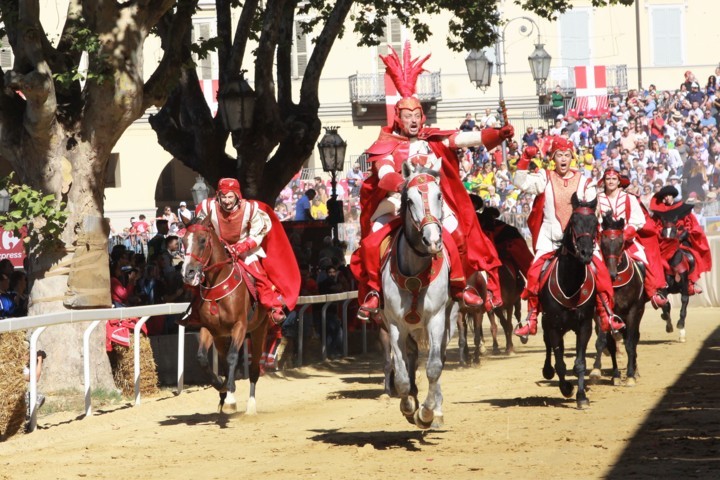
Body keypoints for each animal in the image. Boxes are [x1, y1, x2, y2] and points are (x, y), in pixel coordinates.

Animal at [181, 217, 268, 412]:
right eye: (183, 241)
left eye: (202, 240)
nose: (188, 273)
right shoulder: (210, 328)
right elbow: (202, 358)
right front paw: (221, 386)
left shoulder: (240, 325)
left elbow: (233, 357)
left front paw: (229, 395)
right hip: (222, 336)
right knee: (223, 360)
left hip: (259, 329)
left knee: (254, 368)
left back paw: (250, 404)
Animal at [382, 164, 456, 428]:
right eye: (409, 200)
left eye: (439, 196)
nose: (432, 240)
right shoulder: (394, 324)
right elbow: (402, 375)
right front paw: (408, 407)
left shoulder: (436, 318)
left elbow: (434, 367)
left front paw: (427, 413)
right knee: (411, 359)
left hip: (450, 319)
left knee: (439, 357)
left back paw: (436, 409)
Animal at [540, 192, 596, 408]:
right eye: (574, 221)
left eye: (596, 223)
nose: (585, 253)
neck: (570, 284)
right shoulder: (554, 325)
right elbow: (560, 363)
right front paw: (566, 388)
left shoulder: (584, 325)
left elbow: (580, 363)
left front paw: (581, 397)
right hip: (547, 323)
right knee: (549, 346)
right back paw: (547, 370)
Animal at [592, 213, 644, 386]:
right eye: (603, 242)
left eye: (621, 242)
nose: (611, 273)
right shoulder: (602, 311)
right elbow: (603, 341)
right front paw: (597, 371)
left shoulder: (633, 311)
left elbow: (629, 343)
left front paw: (630, 375)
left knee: (634, 339)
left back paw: (634, 370)